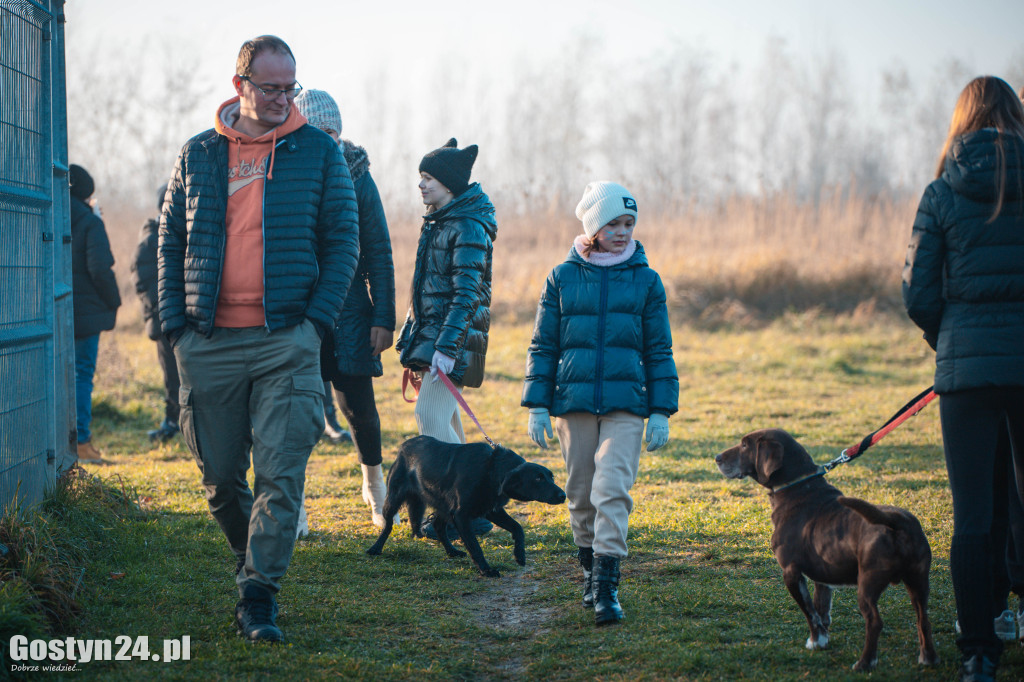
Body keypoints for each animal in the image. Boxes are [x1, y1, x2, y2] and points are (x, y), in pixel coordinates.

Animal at [364, 436, 565, 573]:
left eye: (551, 477)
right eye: (538, 478)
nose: (563, 495)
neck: (492, 469)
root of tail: (405, 445)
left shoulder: (491, 509)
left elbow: (517, 528)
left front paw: (520, 555)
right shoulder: (461, 515)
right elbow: (475, 546)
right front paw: (486, 570)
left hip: (444, 505)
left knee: (438, 525)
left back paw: (452, 552)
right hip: (394, 498)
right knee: (388, 525)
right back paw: (376, 548)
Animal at [712, 428, 937, 667]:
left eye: (745, 445)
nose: (717, 457)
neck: (796, 486)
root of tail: (894, 521)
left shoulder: (791, 573)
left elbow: (810, 613)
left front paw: (816, 640)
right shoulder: (823, 577)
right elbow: (822, 611)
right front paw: (821, 640)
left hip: (867, 584)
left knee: (875, 622)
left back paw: (864, 663)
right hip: (918, 581)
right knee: (923, 618)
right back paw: (928, 658)